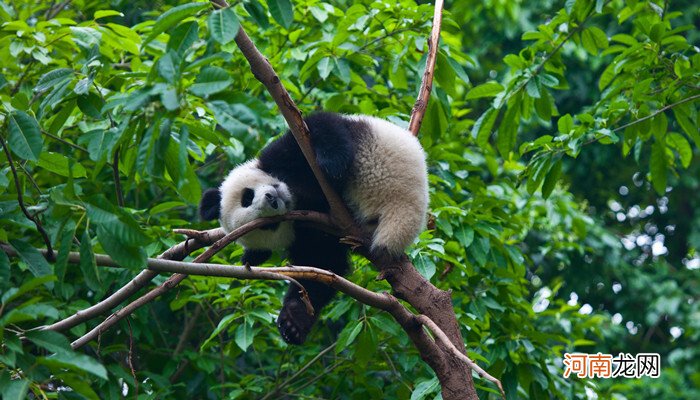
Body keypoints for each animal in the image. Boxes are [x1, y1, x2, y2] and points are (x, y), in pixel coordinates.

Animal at [197, 111, 426, 344]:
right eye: (269, 225)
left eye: (247, 197)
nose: (272, 199)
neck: (297, 194)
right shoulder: (310, 233)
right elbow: (321, 265)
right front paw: (293, 322)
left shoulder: (284, 154)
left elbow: (319, 126)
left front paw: (332, 164)